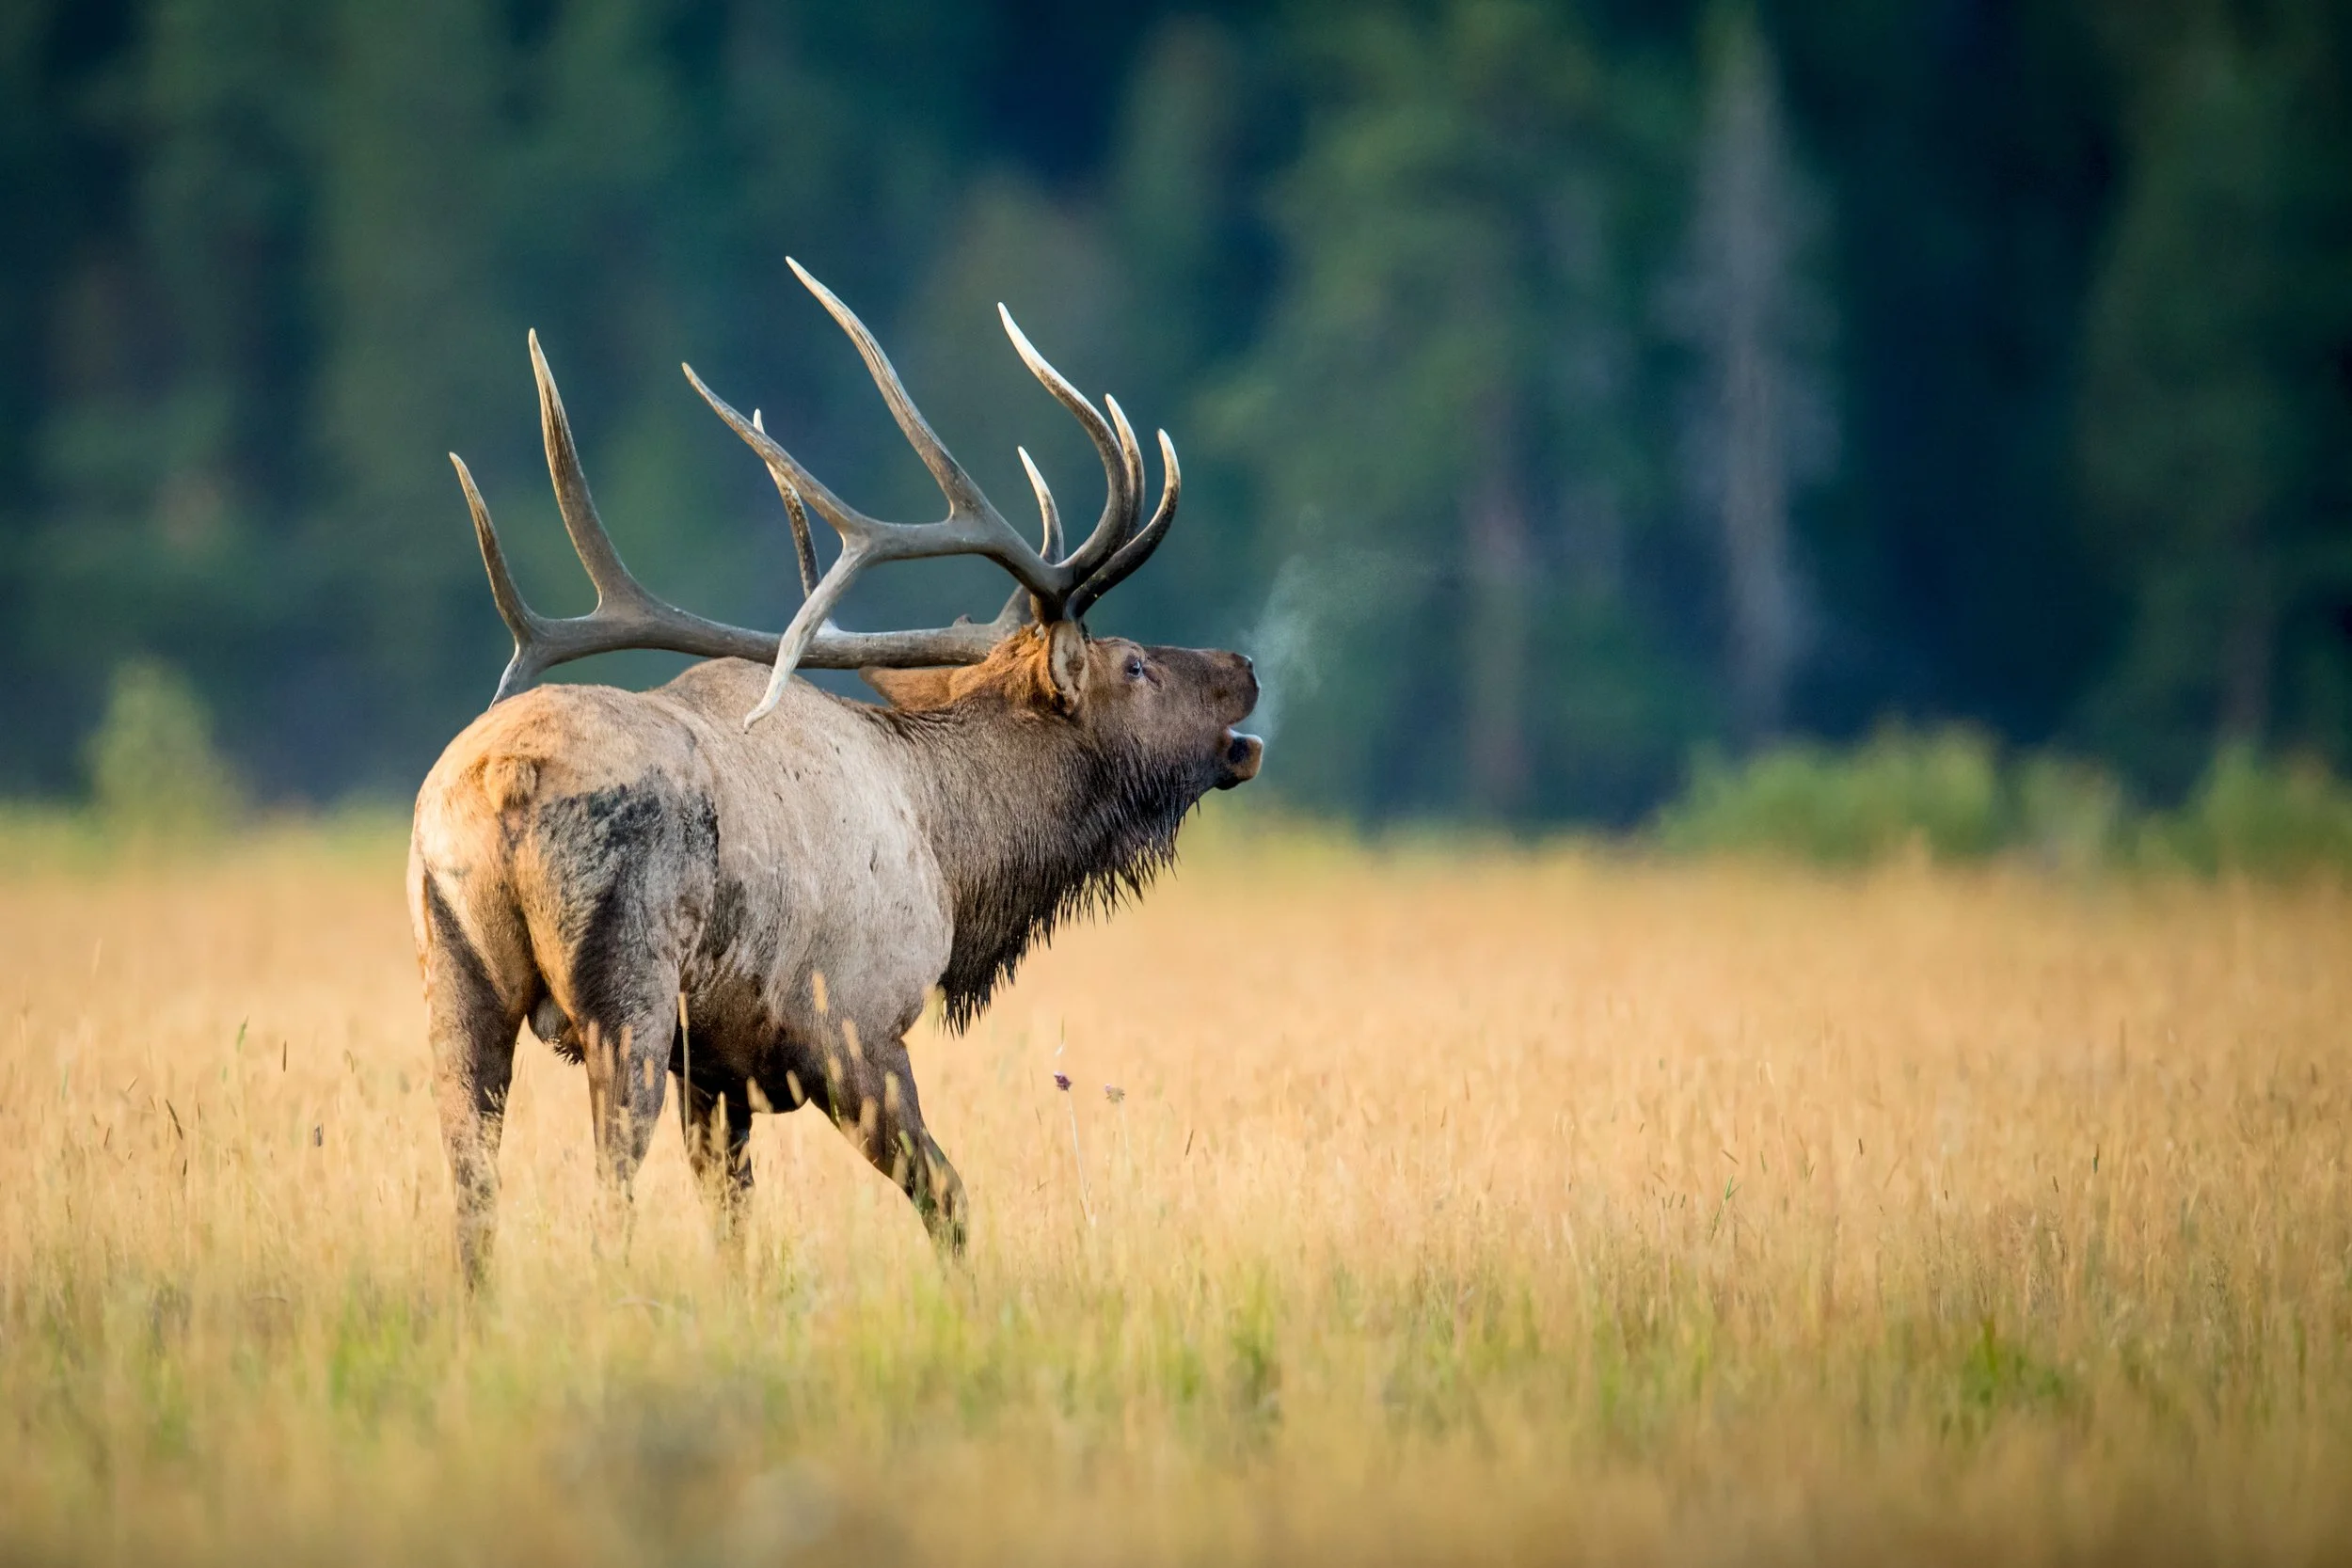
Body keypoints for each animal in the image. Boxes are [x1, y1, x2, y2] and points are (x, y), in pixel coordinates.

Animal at [408, 261, 1262, 1285]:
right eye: (1133, 664)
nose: (1242, 665)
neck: (954, 848)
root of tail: (502, 784)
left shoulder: (718, 1065)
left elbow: (734, 1223)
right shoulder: (851, 1027)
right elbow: (949, 1200)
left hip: (454, 981)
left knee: (471, 1197)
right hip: (629, 991)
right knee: (606, 1197)